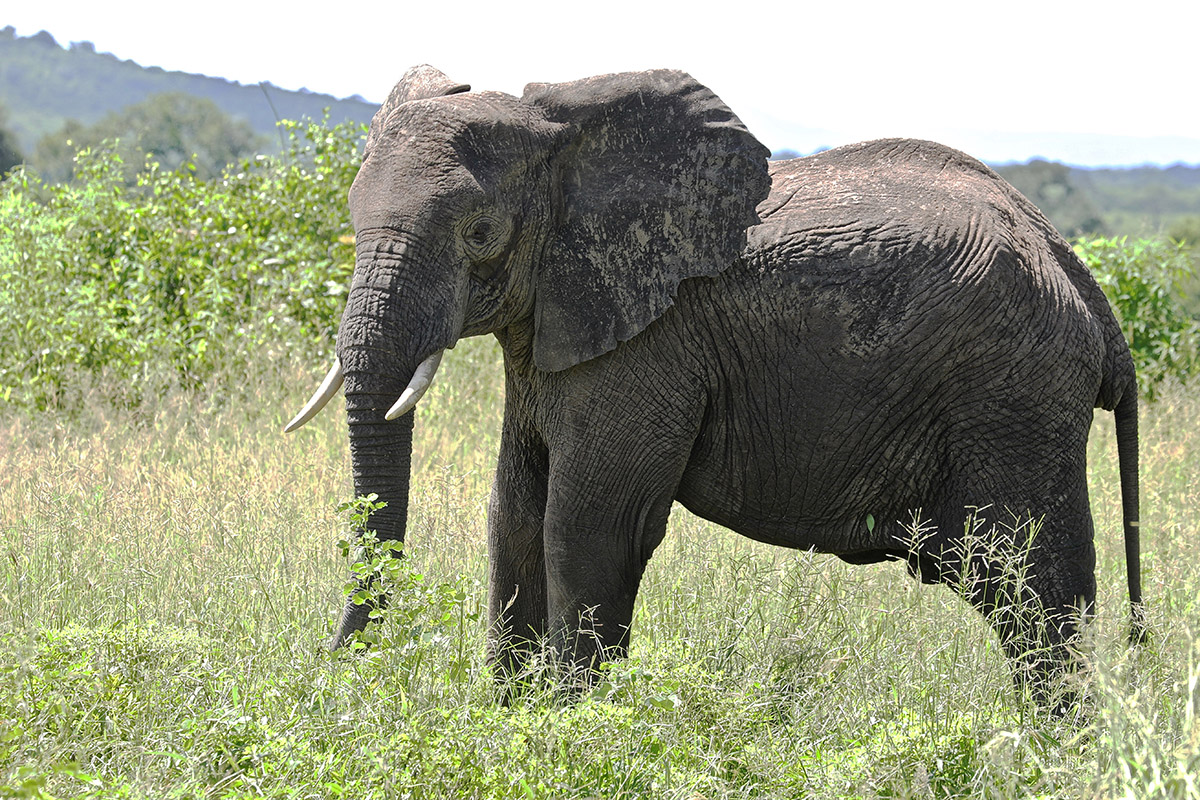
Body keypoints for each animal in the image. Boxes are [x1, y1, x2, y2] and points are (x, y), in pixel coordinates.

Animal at [283, 65, 1142, 705]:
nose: (332, 665)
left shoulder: (653, 344)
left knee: (1036, 595)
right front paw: (508, 721)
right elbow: (514, 516)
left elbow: (585, 524)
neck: (566, 139)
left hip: (1014, 397)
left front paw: (567, 731)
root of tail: (1078, 272)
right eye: (351, 219)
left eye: (481, 232)